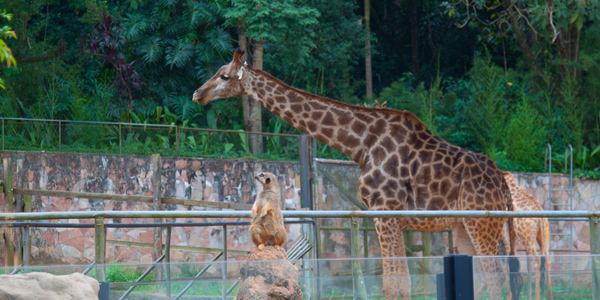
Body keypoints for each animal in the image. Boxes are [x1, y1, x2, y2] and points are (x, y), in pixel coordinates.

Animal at [192, 49, 520, 300]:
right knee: (486, 275)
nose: (197, 93)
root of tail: (504, 187)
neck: (359, 144)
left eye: (224, 76)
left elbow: (395, 284)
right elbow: (399, 283)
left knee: (497, 276)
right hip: (463, 225)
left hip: (482, 223)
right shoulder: (386, 217)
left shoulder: (385, 213)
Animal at [502, 171, 552, 300]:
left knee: (537, 262)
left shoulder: (505, 231)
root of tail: (541, 219)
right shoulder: (514, 235)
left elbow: (509, 263)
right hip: (544, 236)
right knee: (547, 262)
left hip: (527, 237)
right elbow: (513, 261)